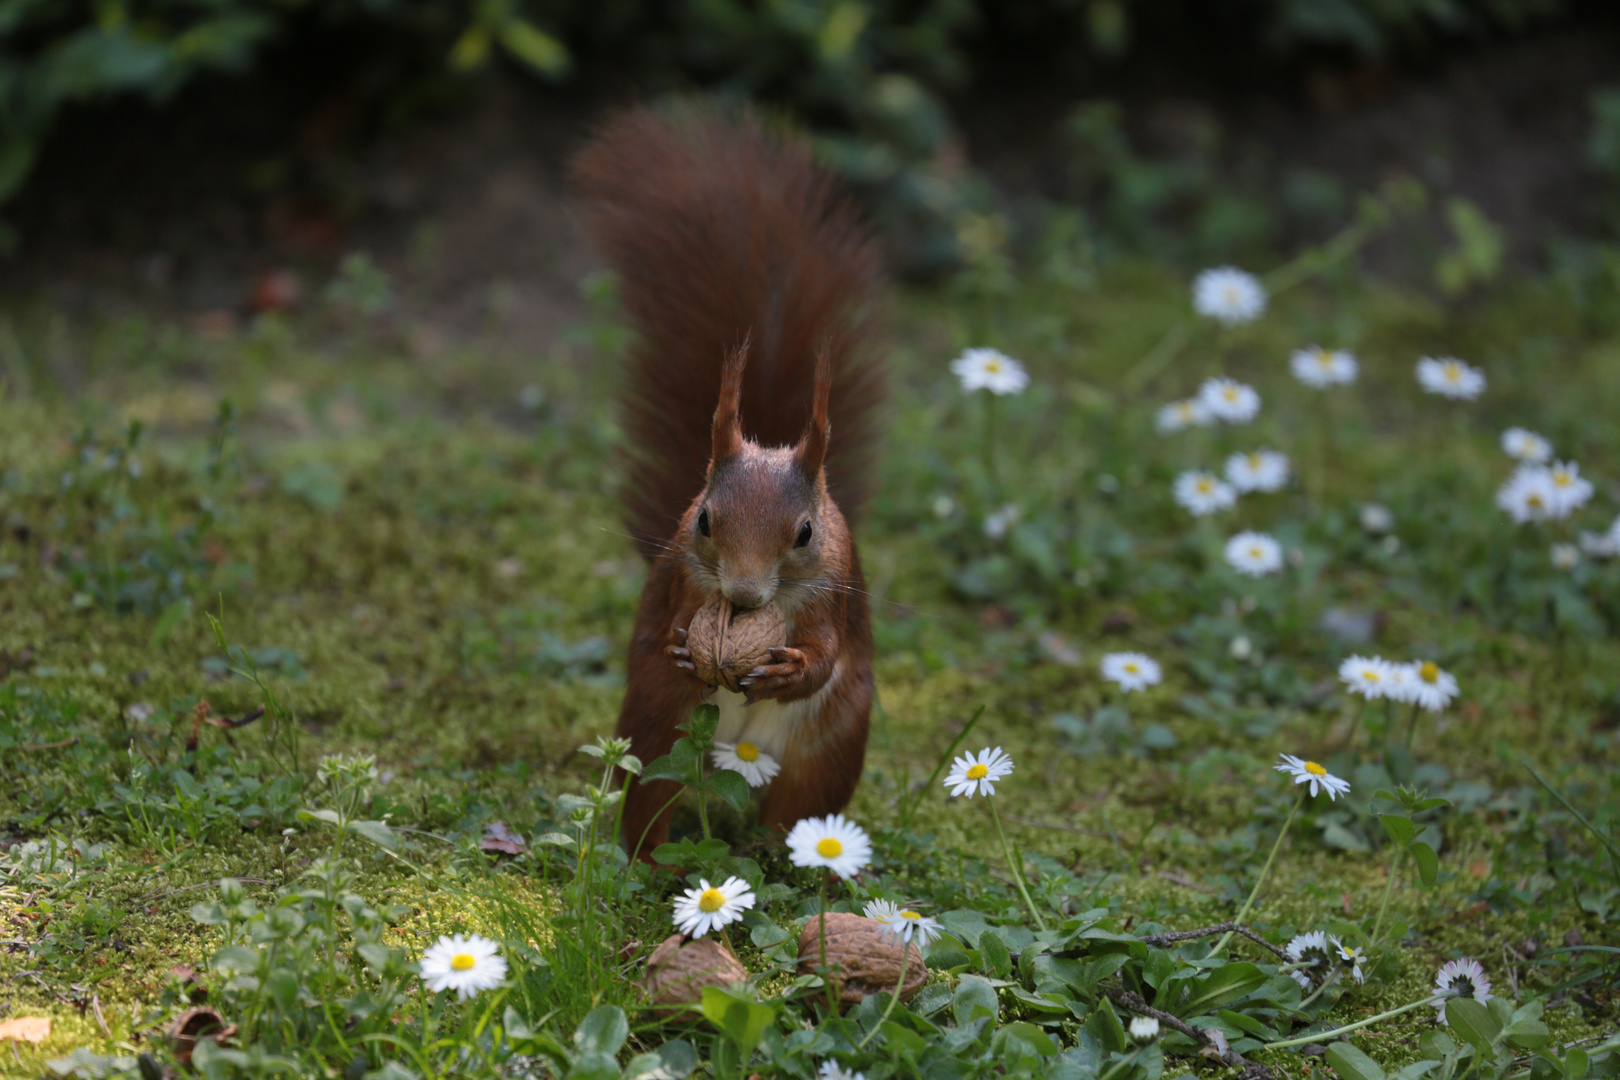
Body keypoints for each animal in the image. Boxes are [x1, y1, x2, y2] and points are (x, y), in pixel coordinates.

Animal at [573, 103, 887, 861]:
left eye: (805, 533)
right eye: (704, 520)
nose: (742, 598)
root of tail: (737, 758)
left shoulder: (833, 590)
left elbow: (825, 655)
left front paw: (789, 668)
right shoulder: (686, 577)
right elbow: (673, 623)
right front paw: (689, 645)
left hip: (829, 751)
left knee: (799, 815)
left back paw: (799, 864)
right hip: (656, 730)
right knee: (650, 798)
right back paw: (649, 862)